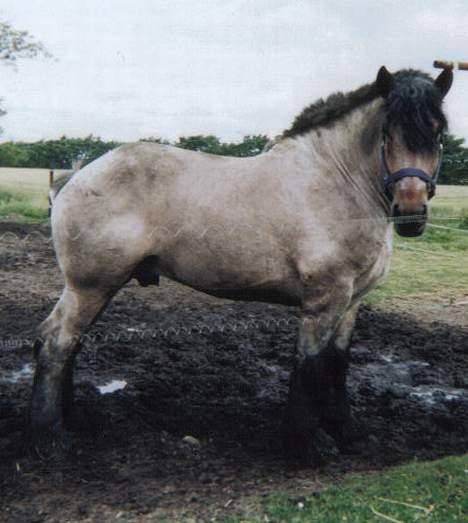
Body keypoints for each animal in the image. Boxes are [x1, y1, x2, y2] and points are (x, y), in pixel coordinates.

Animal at [30, 65, 454, 462]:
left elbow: (337, 366)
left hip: (101, 288)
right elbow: (310, 366)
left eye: (437, 134)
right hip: (89, 287)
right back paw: (51, 435)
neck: (338, 183)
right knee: (56, 342)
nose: (411, 213)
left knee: (70, 343)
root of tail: (75, 177)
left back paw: (75, 420)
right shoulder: (323, 301)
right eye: (387, 134)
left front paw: (348, 433)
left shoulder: (352, 303)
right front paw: (306, 445)